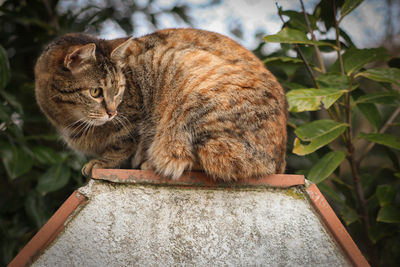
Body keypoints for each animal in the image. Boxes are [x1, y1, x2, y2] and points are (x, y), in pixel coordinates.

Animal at [33, 28, 284, 181]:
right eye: (95, 92)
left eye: (119, 88)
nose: (112, 112)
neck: (67, 118)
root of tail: (277, 163)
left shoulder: (133, 121)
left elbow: (122, 144)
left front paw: (103, 162)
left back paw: (152, 164)